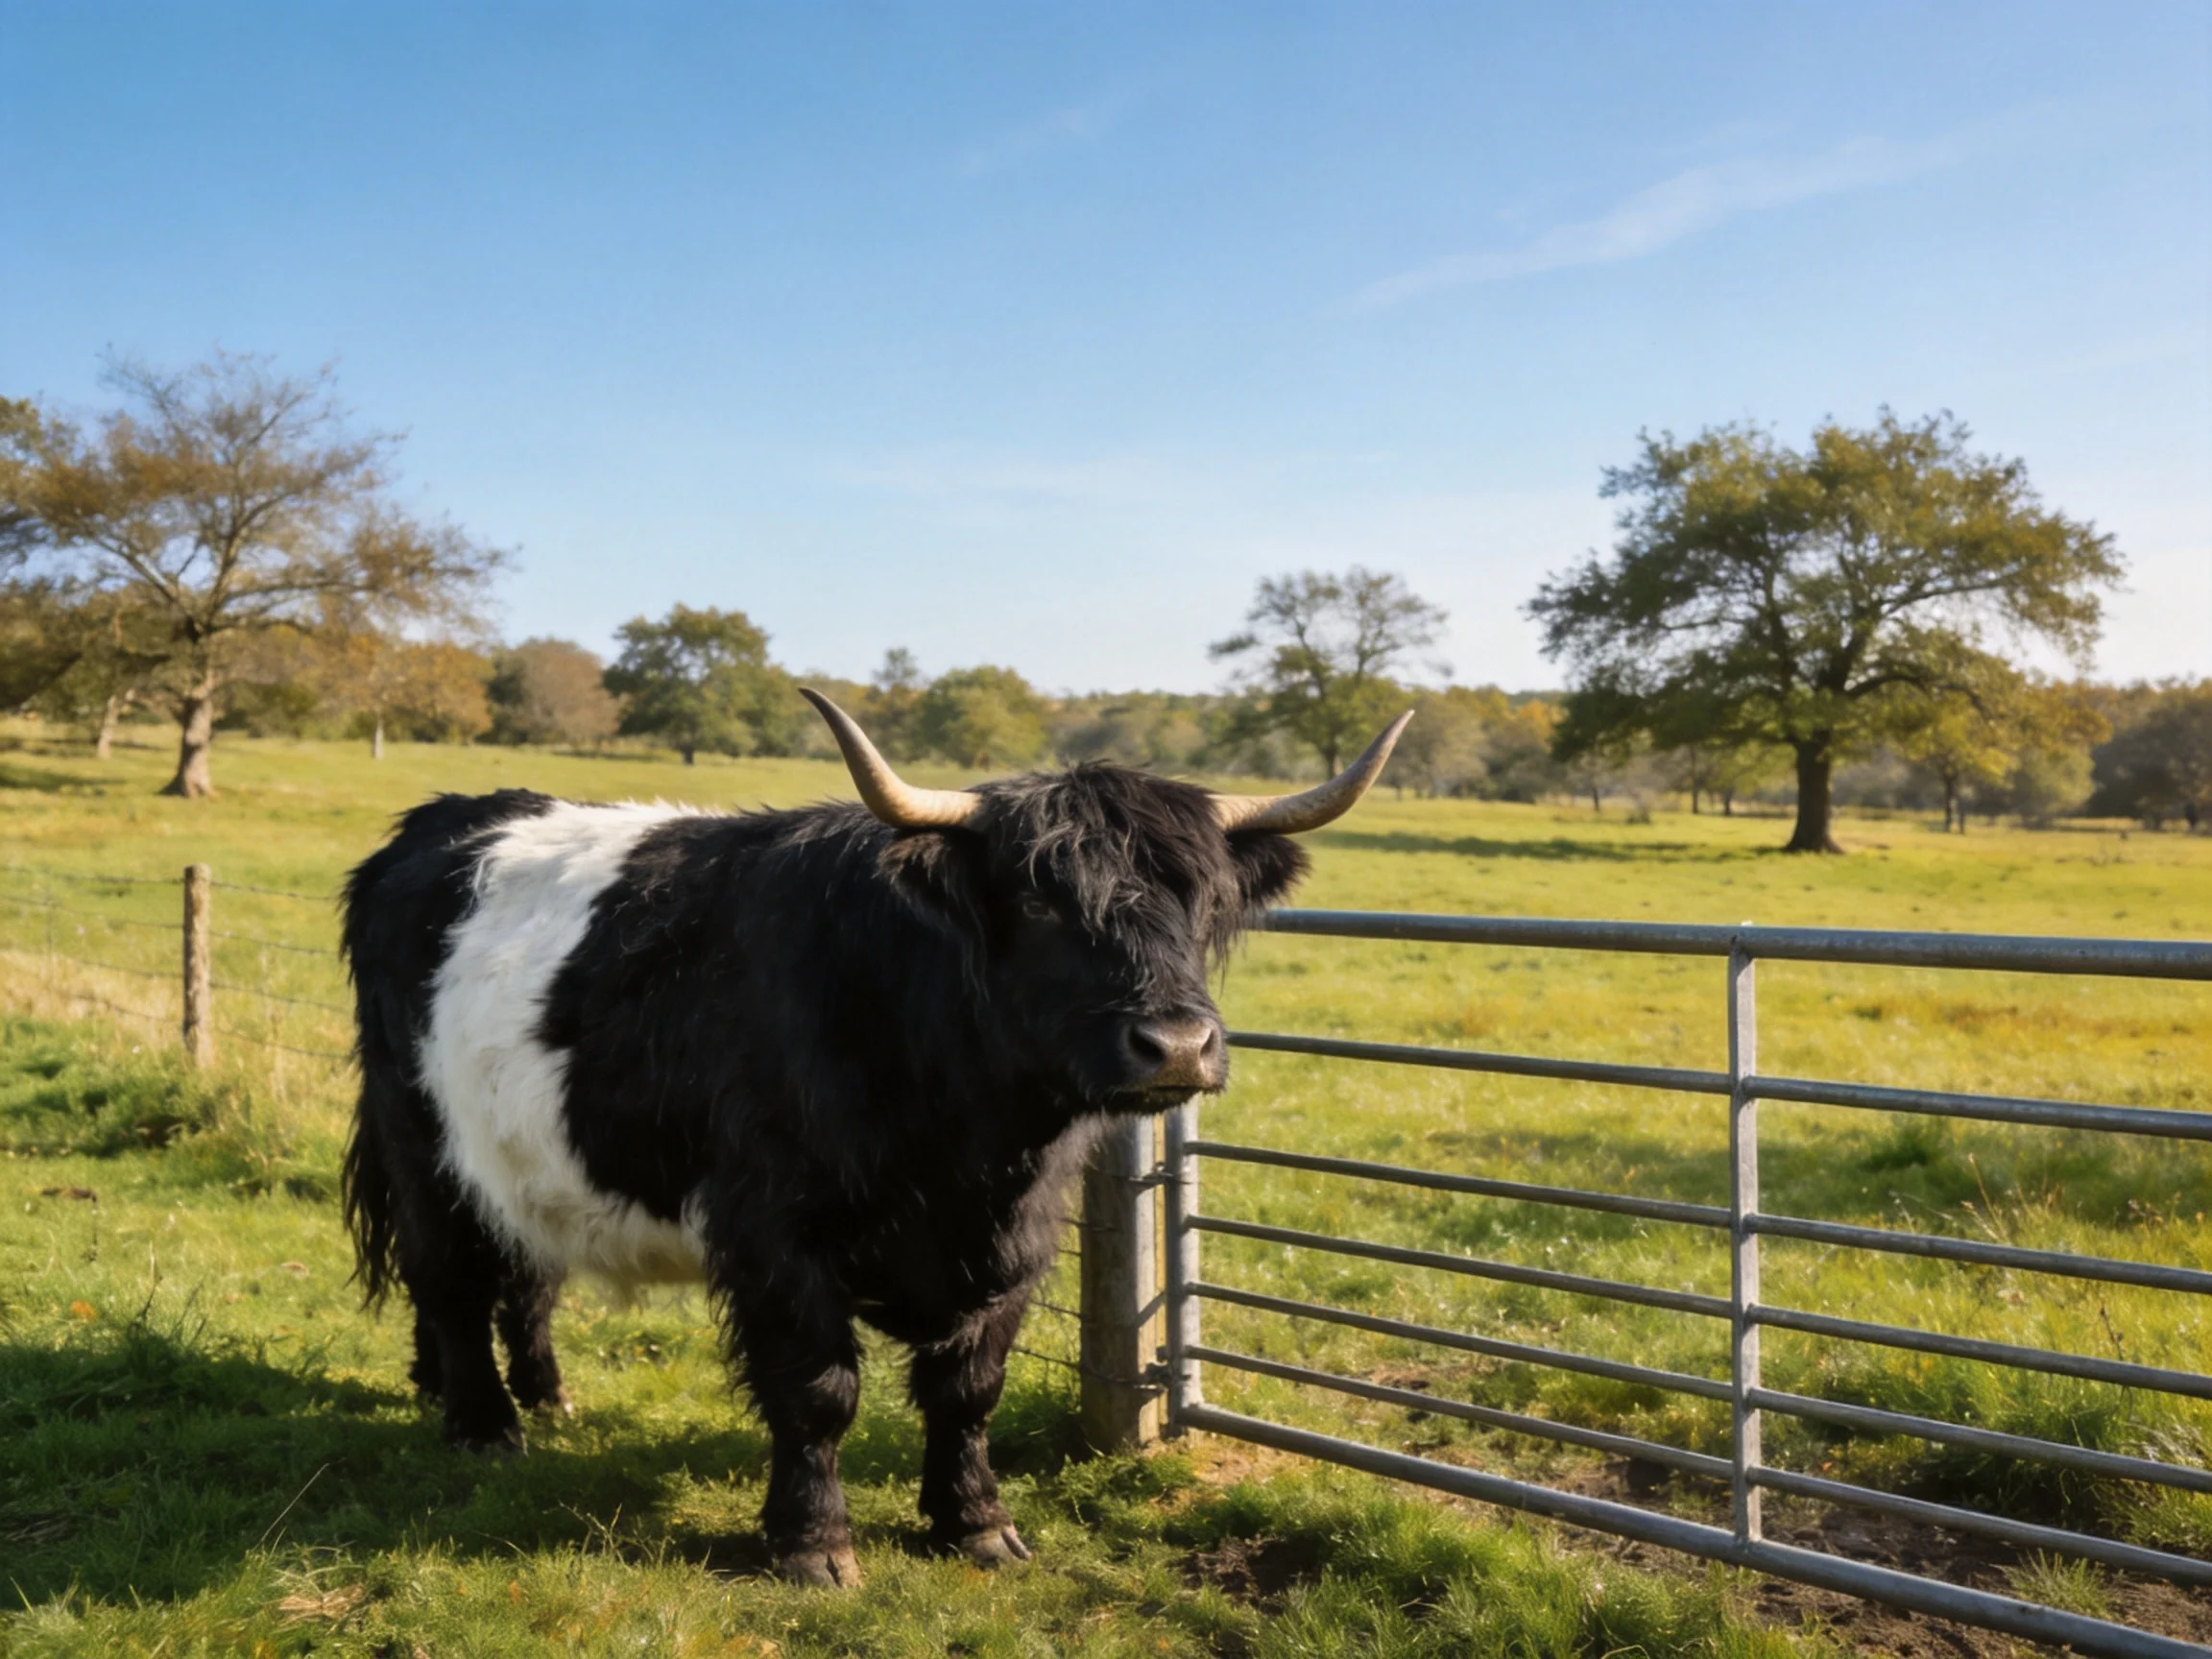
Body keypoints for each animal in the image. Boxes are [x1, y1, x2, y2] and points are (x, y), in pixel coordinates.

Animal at [340, 689, 1409, 1587]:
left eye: (1202, 899)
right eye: (1037, 898)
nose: (1177, 1045)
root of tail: (441, 820)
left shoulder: (1017, 1241)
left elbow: (968, 1387)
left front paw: (976, 1523)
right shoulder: (776, 1236)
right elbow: (819, 1388)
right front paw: (813, 1545)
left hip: (521, 1155)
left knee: (526, 1271)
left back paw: (538, 1396)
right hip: (421, 1136)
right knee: (449, 1275)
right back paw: (484, 1422)